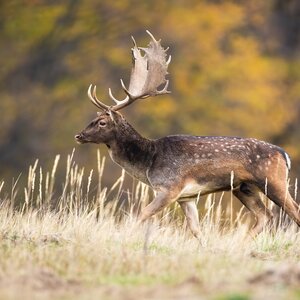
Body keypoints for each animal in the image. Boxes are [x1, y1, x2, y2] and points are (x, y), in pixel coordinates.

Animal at [75, 31, 300, 239]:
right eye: (95, 118)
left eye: (102, 122)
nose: (79, 135)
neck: (149, 162)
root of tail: (284, 155)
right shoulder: (187, 197)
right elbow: (195, 229)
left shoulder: (170, 188)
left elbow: (142, 213)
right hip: (244, 187)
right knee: (265, 215)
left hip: (273, 180)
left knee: (293, 210)